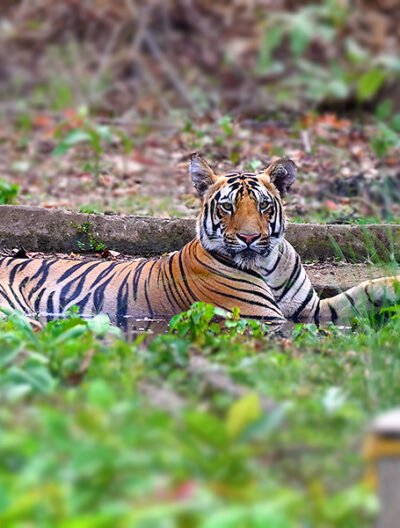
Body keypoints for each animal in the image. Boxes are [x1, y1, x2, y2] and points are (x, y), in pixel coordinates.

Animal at [0, 153, 398, 326]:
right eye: (227, 207)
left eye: (263, 205)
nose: (250, 237)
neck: (267, 265)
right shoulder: (264, 319)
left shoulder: (311, 310)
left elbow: (363, 292)